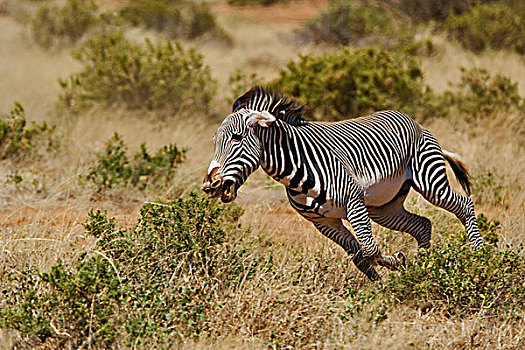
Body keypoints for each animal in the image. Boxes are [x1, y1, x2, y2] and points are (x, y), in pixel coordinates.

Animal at [202, 86, 484, 280]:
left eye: (236, 138)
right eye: (214, 141)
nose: (209, 185)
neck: (296, 167)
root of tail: (415, 122)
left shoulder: (354, 203)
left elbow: (369, 250)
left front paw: (397, 262)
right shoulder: (323, 222)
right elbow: (360, 256)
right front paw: (385, 281)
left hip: (429, 181)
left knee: (464, 205)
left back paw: (479, 257)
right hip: (384, 207)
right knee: (423, 225)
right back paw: (425, 266)